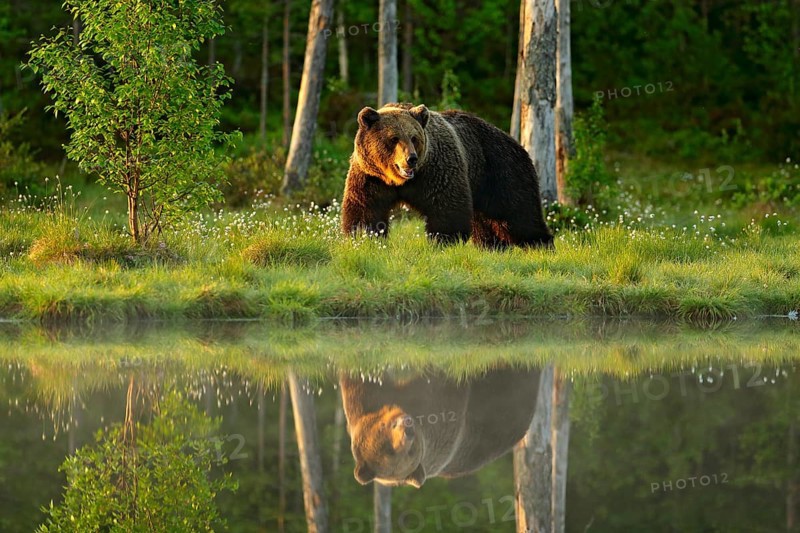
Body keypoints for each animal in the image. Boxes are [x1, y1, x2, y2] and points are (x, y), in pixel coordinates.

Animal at [341, 102, 554, 249]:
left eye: (414, 138)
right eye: (394, 138)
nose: (411, 159)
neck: (399, 181)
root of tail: (516, 142)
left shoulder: (436, 171)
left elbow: (446, 208)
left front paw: (442, 240)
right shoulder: (370, 177)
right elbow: (365, 211)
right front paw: (364, 238)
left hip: (502, 171)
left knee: (519, 214)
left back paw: (540, 244)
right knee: (486, 221)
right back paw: (491, 246)